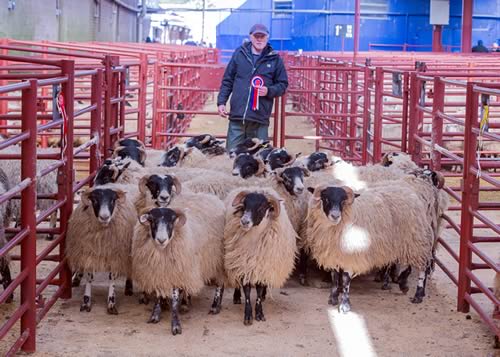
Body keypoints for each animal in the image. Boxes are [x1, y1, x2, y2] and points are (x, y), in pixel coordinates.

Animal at [66, 182, 139, 312]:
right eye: (94, 200)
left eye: (113, 200)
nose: (104, 217)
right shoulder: (89, 253)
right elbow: (89, 277)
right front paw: (86, 302)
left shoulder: (115, 256)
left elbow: (112, 277)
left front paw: (111, 302)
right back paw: (77, 278)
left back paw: (129, 287)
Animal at [133, 192, 227, 334]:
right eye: (152, 220)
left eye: (172, 220)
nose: (161, 240)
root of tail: (210, 196)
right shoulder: (159, 273)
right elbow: (159, 296)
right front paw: (155, 315)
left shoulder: (176, 272)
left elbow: (175, 299)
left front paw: (176, 324)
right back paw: (186, 303)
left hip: (217, 259)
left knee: (220, 283)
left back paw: (215, 306)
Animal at [223, 188, 296, 324]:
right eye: (244, 205)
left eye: (261, 207)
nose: (244, 221)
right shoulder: (244, 265)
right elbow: (247, 291)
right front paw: (248, 316)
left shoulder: (262, 266)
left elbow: (259, 289)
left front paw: (259, 313)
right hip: (234, 260)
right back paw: (236, 296)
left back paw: (263, 296)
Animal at [302, 184, 436, 312]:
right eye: (325, 198)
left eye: (343, 200)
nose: (335, 216)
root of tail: (411, 194)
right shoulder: (334, 254)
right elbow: (334, 278)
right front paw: (333, 298)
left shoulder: (351, 253)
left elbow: (345, 280)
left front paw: (345, 304)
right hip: (401, 243)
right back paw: (405, 286)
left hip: (416, 241)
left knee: (423, 267)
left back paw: (418, 295)